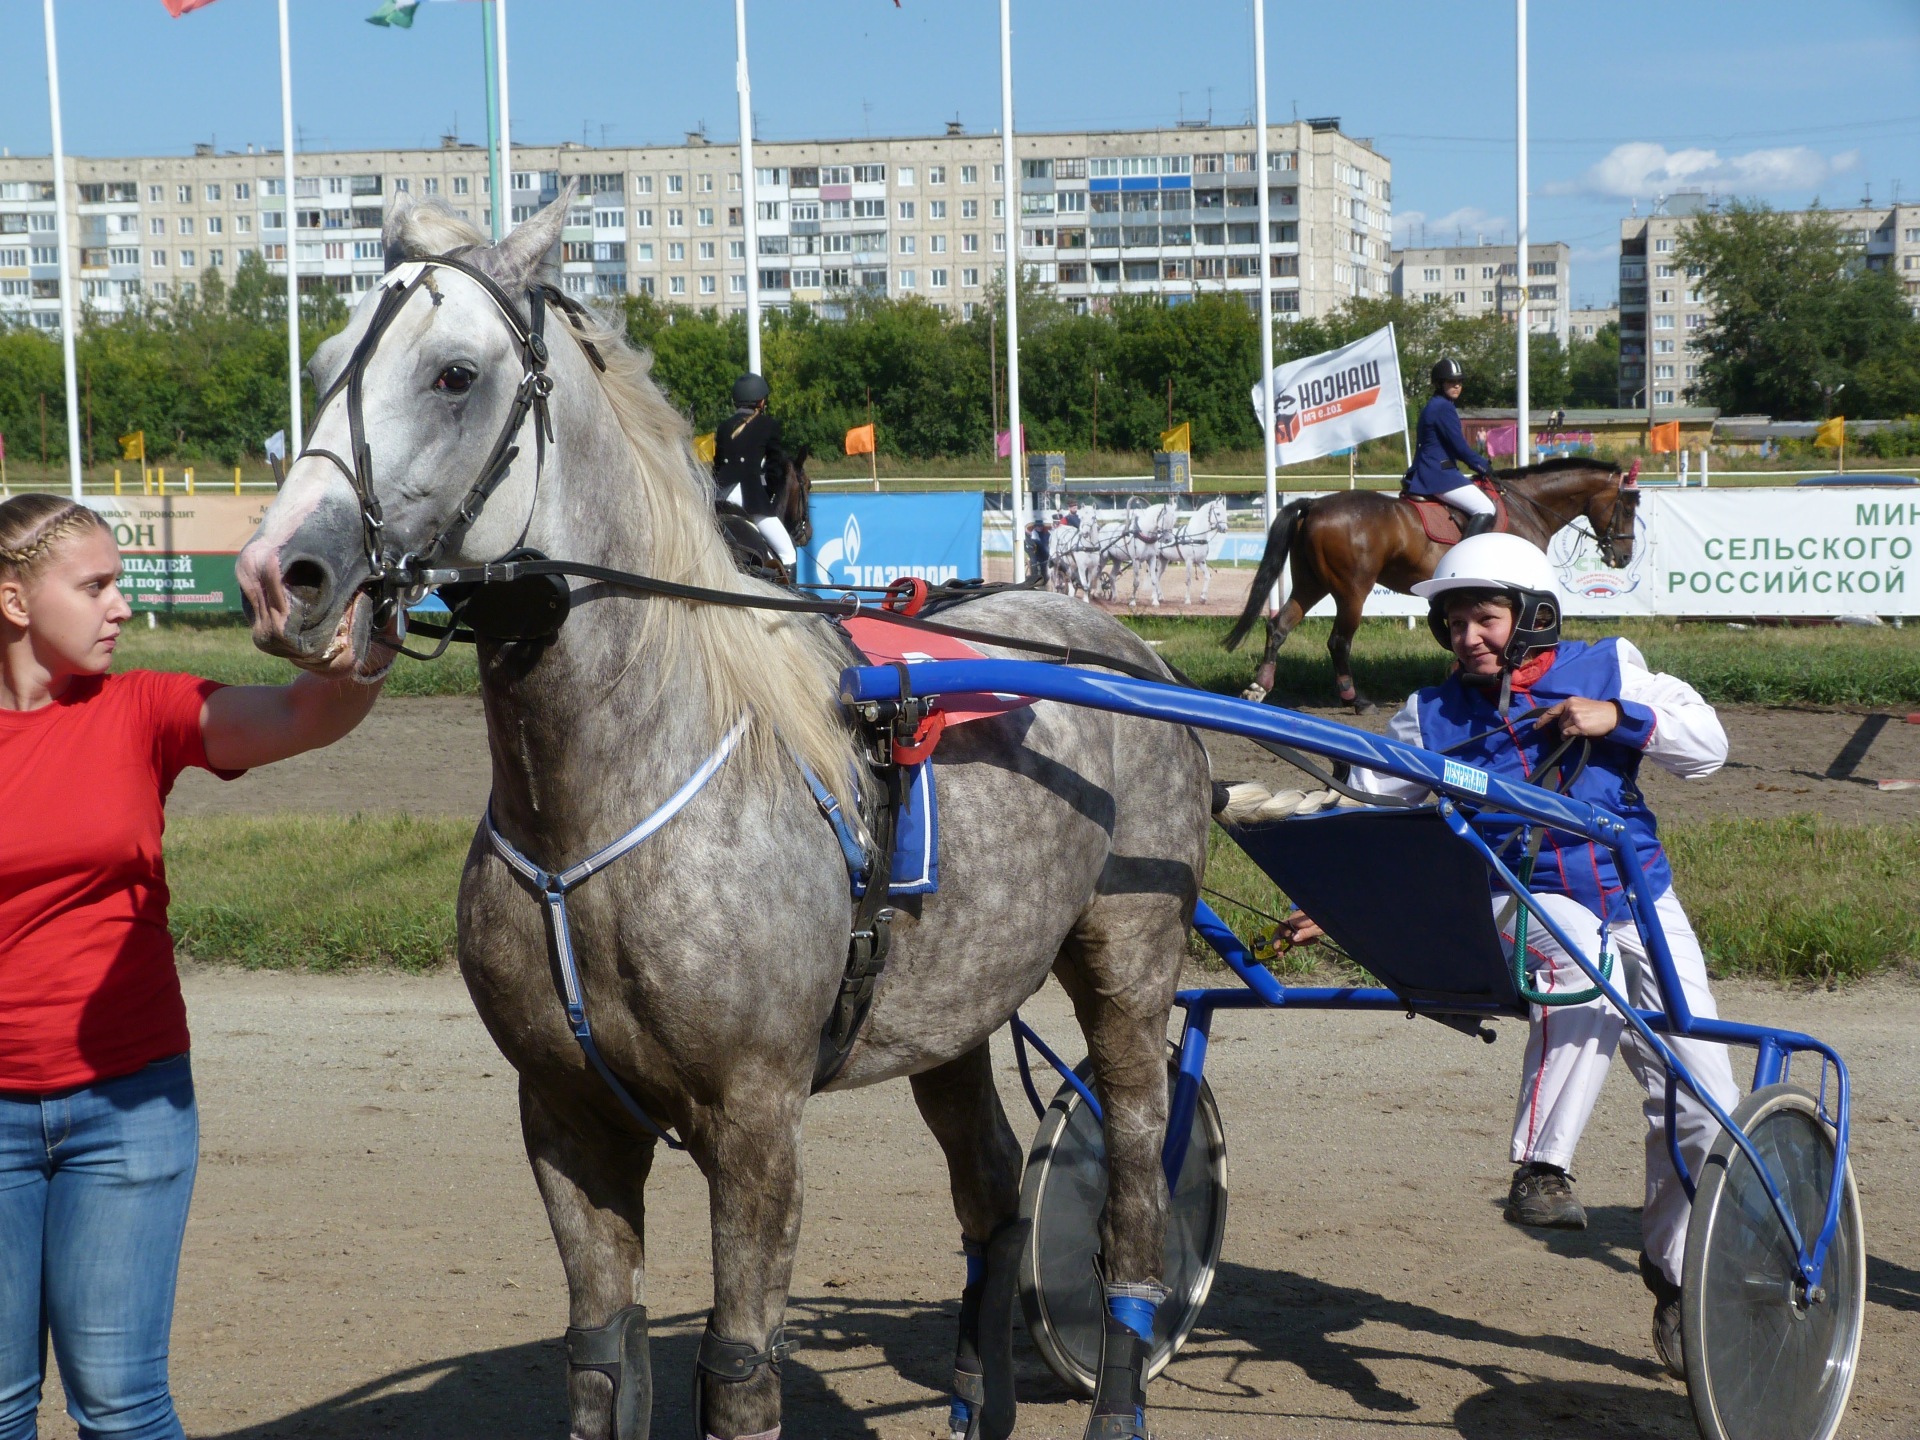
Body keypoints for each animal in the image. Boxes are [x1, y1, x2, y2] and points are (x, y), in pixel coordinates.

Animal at [234, 191, 1211, 1440]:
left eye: (455, 374)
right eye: (322, 366)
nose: (281, 574)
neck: (594, 815)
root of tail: (1128, 649)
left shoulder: (756, 1123)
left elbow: (738, 1370)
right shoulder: (564, 1117)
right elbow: (599, 1355)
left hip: (1129, 963)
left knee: (1134, 1194)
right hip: (950, 1005)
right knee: (991, 1194)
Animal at [1223, 458, 1639, 711]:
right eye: (1628, 506)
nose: (1623, 556)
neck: (1529, 506)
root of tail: (1314, 504)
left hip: (1311, 584)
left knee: (1279, 626)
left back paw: (1259, 687)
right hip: (1351, 591)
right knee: (1338, 641)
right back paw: (1355, 699)